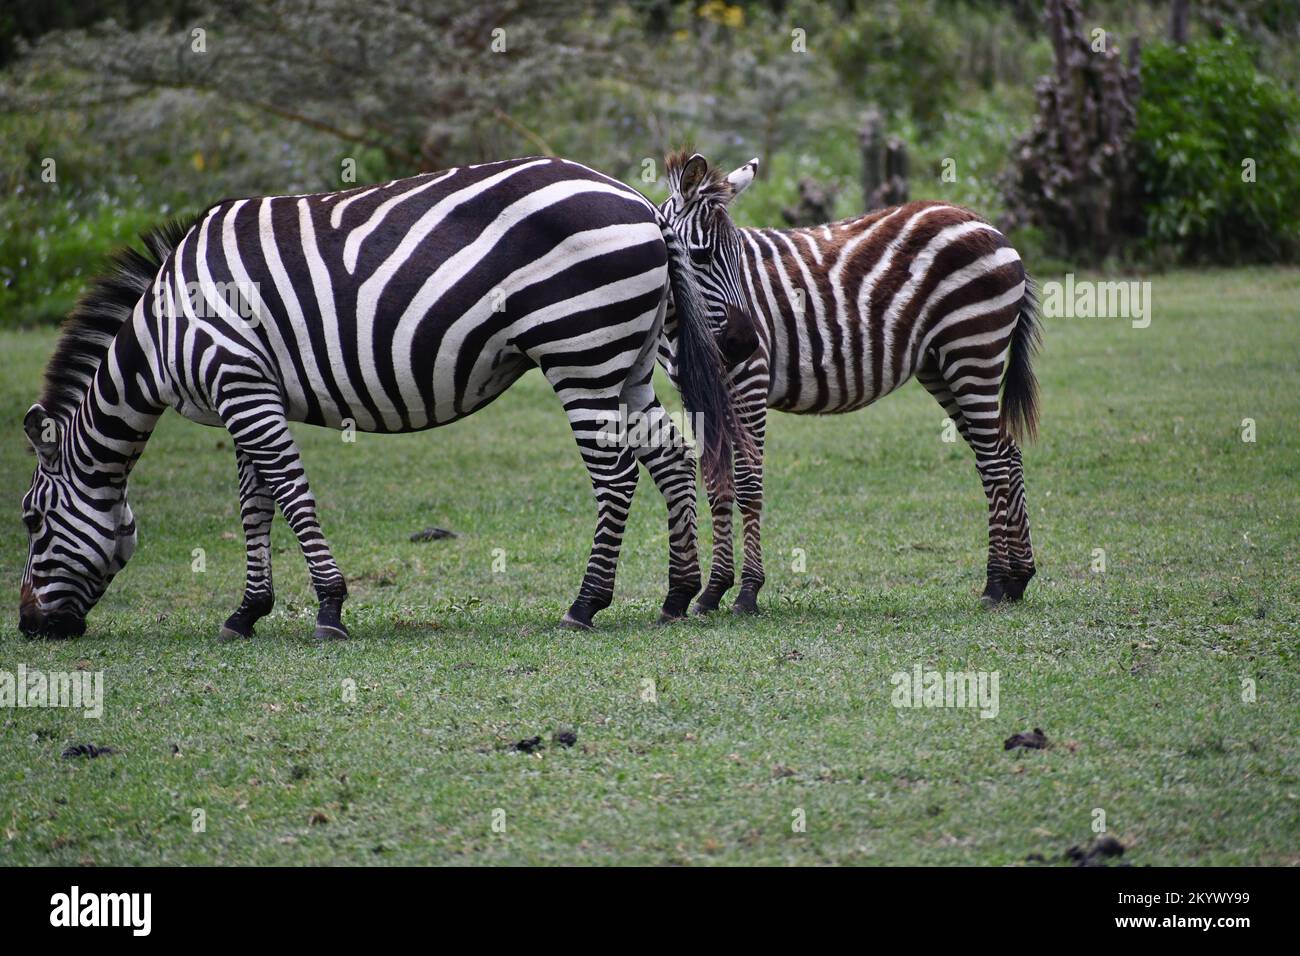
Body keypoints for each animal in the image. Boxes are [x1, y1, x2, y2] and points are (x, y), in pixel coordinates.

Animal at [19, 156, 746, 641]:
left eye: (30, 522)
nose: (29, 627)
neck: (165, 329)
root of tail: (643, 205)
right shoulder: (247, 389)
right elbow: (255, 507)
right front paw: (247, 611)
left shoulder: (239, 381)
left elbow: (290, 493)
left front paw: (329, 608)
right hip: (626, 359)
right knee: (670, 457)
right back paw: (678, 593)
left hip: (580, 349)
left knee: (616, 474)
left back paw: (586, 603)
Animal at [657, 151, 1041, 614]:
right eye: (701, 256)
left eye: (738, 256)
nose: (745, 342)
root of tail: (990, 226)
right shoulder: (698, 395)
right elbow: (718, 487)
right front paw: (713, 590)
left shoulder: (749, 381)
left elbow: (748, 485)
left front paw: (748, 591)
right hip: (941, 365)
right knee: (1007, 452)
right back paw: (1019, 578)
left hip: (972, 350)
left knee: (994, 462)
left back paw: (996, 582)